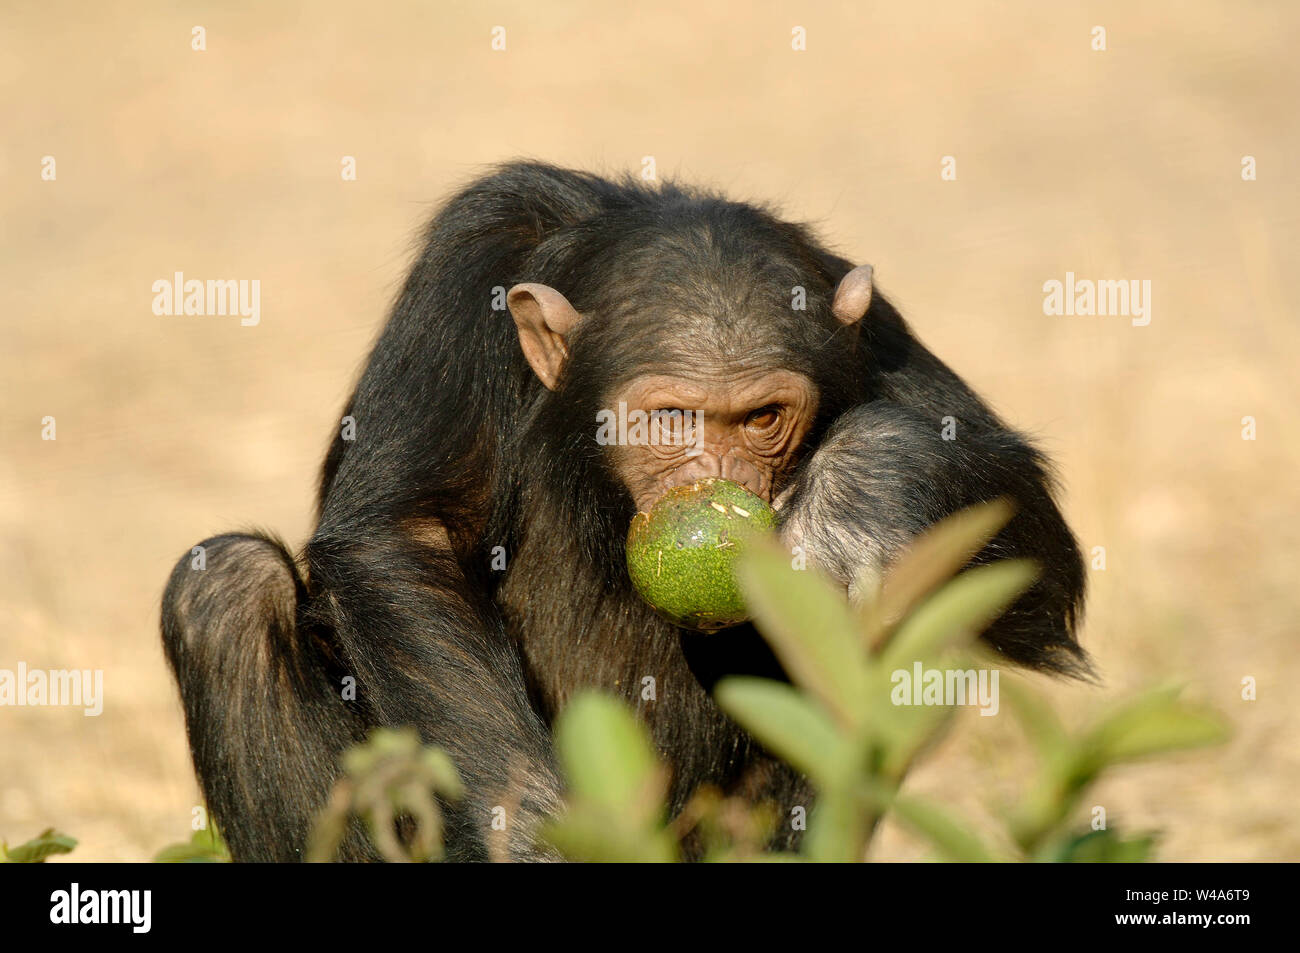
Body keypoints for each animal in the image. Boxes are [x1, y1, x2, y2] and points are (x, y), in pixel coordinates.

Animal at [165, 159, 1086, 858]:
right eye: (672, 418)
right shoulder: (462, 277)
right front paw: (528, 832)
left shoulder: (870, 330)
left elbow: (1038, 553)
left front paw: (862, 493)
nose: (717, 476)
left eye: (762, 418)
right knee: (227, 591)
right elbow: (400, 532)